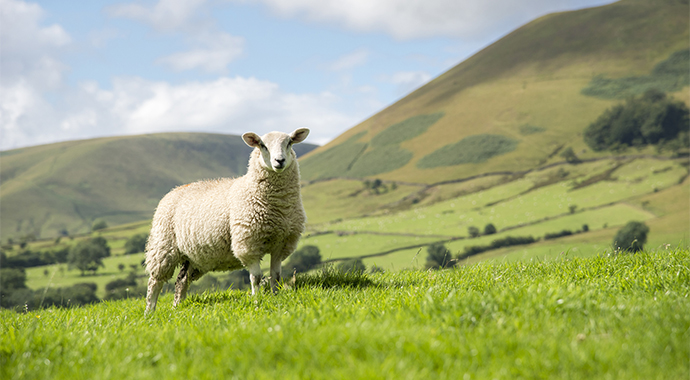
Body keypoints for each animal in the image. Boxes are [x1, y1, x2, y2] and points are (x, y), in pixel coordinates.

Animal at [145, 129, 310, 314]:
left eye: (289, 143)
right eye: (262, 145)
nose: (279, 161)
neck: (278, 207)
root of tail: (174, 190)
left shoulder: (281, 244)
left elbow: (276, 276)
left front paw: (276, 297)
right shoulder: (248, 243)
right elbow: (256, 277)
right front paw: (257, 300)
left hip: (195, 257)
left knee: (181, 280)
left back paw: (177, 307)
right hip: (163, 246)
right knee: (155, 282)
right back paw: (149, 312)